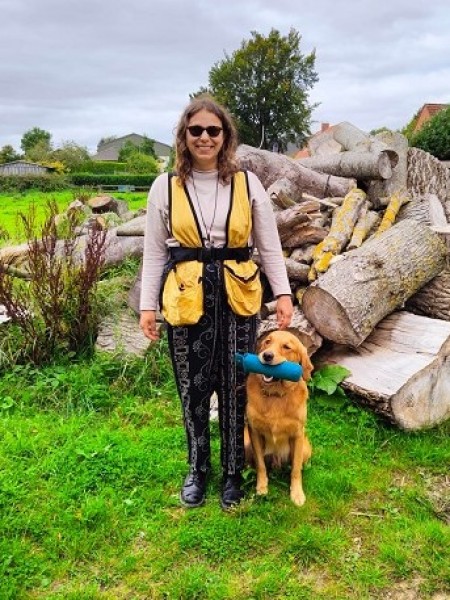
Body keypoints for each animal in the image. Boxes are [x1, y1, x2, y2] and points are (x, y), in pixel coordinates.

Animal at [245, 330, 313, 506]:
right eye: (267, 342)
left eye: (286, 347)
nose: (267, 356)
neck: (276, 394)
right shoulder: (254, 431)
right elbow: (261, 465)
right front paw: (261, 487)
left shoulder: (297, 434)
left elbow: (295, 470)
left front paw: (297, 493)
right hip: (247, 444)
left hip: (305, 448)